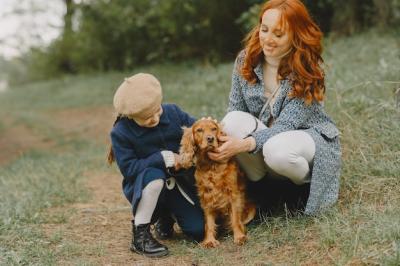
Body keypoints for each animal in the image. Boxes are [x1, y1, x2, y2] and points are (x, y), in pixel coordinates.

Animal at [179, 118, 255, 247]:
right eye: (199, 130)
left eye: (214, 129)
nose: (210, 138)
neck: (211, 165)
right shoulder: (206, 196)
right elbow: (209, 222)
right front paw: (209, 240)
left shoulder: (233, 194)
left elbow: (235, 218)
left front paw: (239, 237)